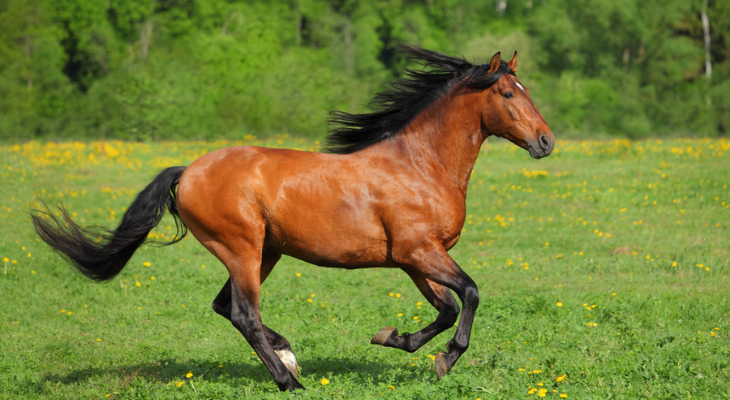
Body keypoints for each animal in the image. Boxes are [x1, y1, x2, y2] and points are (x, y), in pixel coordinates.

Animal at [31, 45, 548, 392]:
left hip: (266, 252)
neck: (421, 165)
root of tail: (188, 171)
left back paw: (289, 356)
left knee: (227, 307)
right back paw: (289, 379)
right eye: (507, 93)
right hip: (241, 248)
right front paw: (445, 360)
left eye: (526, 90)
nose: (546, 142)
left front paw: (393, 338)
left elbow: (445, 308)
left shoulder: (413, 259)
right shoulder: (419, 250)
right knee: (244, 313)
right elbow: (470, 294)